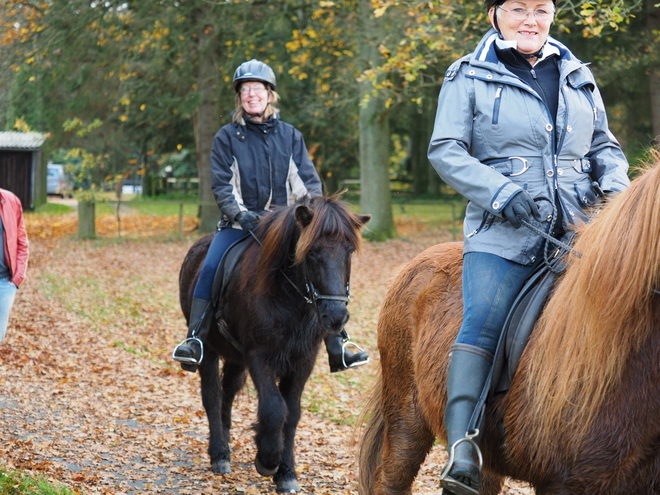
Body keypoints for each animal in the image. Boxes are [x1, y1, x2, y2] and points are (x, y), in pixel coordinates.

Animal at [178, 196, 368, 494]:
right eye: (311, 252)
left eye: (349, 251)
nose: (336, 316)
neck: (290, 298)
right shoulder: (259, 356)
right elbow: (274, 408)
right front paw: (267, 460)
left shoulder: (303, 360)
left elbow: (292, 414)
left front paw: (286, 473)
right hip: (208, 348)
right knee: (212, 395)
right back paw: (219, 454)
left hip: (235, 357)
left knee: (228, 391)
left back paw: (227, 443)